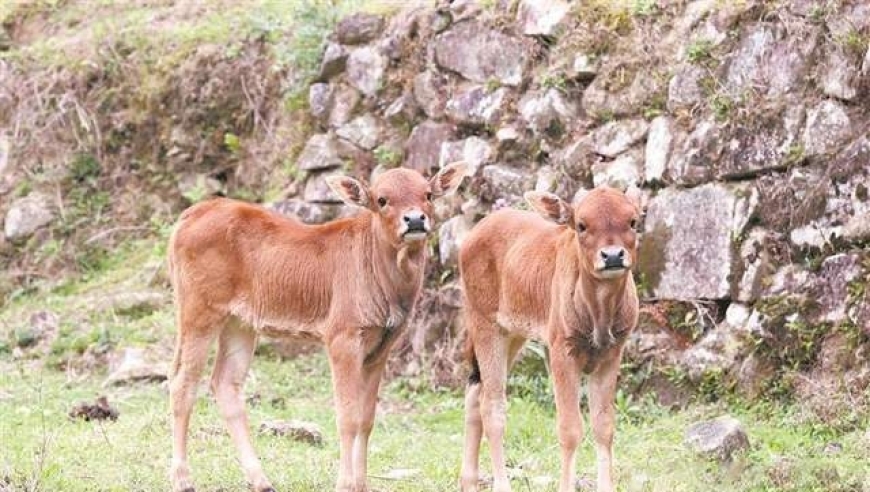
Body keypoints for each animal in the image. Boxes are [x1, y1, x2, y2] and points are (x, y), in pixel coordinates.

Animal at [169, 164, 470, 492]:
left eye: (427, 194)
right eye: (382, 200)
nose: (415, 219)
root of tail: (192, 213)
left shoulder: (382, 346)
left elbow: (366, 419)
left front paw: (361, 484)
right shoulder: (342, 337)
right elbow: (347, 417)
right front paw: (345, 484)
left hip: (240, 322)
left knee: (225, 383)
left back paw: (261, 480)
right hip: (199, 310)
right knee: (182, 382)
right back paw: (183, 478)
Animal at [460, 185, 644, 492]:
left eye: (632, 221)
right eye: (581, 225)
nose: (612, 256)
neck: (599, 311)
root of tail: (472, 235)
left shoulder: (611, 353)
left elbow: (604, 426)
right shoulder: (562, 352)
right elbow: (570, 429)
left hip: (513, 334)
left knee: (476, 390)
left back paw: (469, 481)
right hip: (485, 325)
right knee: (492, 405)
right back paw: (500, 483)